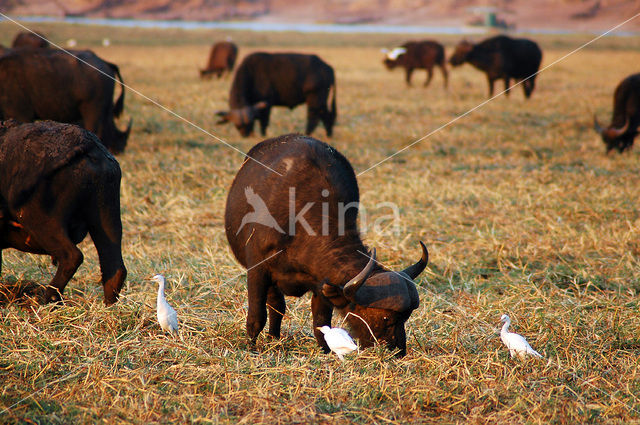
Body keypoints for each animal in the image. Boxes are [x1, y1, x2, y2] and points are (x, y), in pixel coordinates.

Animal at [0, 120, 127, 304]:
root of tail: (87, 143)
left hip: (41, 222)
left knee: (72, 256)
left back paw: (47, 299)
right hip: (107, 220)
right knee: (115, 268)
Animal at [226, 134, 430, 356]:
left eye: (406, 317)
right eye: (385, 317)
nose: (397, 351)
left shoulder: (320, 283)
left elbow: (321, 322)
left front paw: (325, 351)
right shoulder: (257, 270)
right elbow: (257, 315)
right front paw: (251, 347)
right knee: (274, 306)